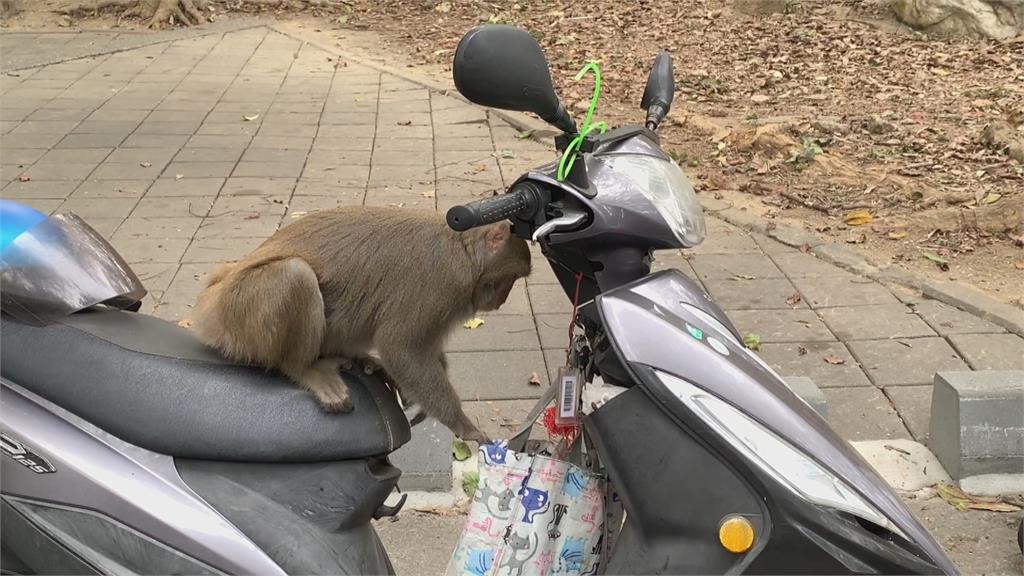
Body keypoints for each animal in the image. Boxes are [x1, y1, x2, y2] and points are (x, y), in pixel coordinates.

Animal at [190, 203, 536, 440]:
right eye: (510, 279)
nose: (502, 298)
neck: (464, 250)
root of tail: (211, 297)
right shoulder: (443, 284)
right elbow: (401, 347)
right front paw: (463, 425)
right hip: (238, 311)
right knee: (295, 275)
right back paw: (306, 369)